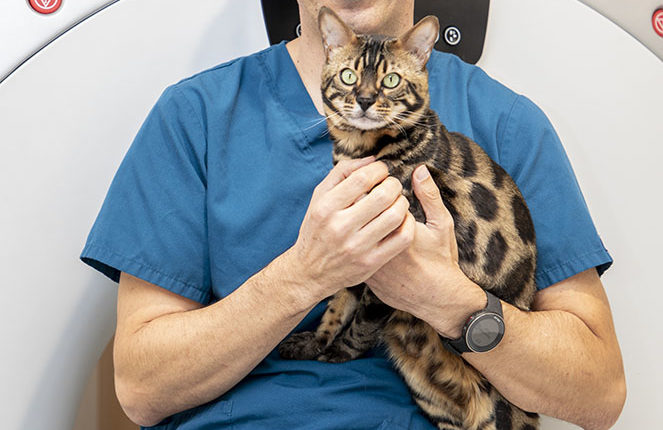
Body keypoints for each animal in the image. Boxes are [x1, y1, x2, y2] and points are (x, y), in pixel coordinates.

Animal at [279, 7, 539, 430]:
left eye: (391, 80)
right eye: (348, 76)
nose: (365, 100)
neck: (359, 152)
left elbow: (364, 319)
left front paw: (341, 352)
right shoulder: (351, 244)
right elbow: (338, 303)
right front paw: (316, 342)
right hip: (434, 403)